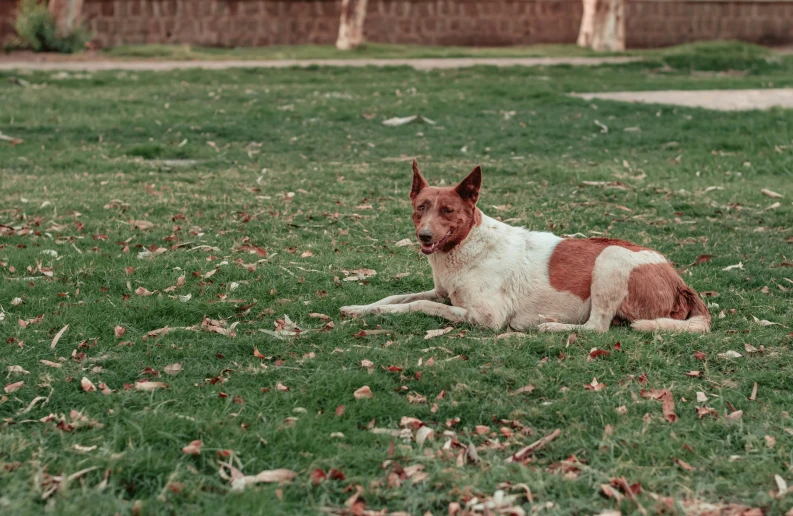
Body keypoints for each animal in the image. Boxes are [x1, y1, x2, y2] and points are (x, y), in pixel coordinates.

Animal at [338, 159, 708, 332]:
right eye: (421, 208)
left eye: (448, 211)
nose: (425, 237)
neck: (468, 245)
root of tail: (681, 283)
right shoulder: (442, 291)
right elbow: (397, 298)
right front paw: (361, 308)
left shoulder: (486, 315)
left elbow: (419, 305)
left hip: (610, 259)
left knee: (597, 328)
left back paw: (550, 326)